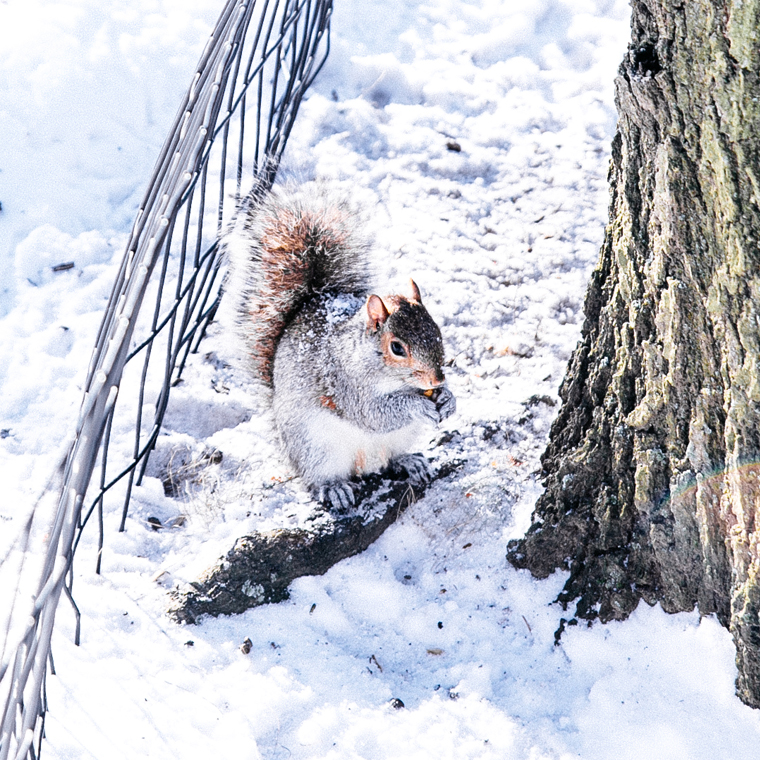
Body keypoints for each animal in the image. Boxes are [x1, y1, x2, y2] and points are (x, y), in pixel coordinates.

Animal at [223, 181, 454, 508]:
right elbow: (374, 413)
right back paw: (334, 488)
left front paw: (448, 398)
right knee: (318, 478)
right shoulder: (344, 383)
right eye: (397, 348)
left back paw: (408, 461)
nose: (437, 380)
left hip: (395, 440)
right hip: (315, 447)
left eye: (436, 330)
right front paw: (418, 405)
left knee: (390, 459)